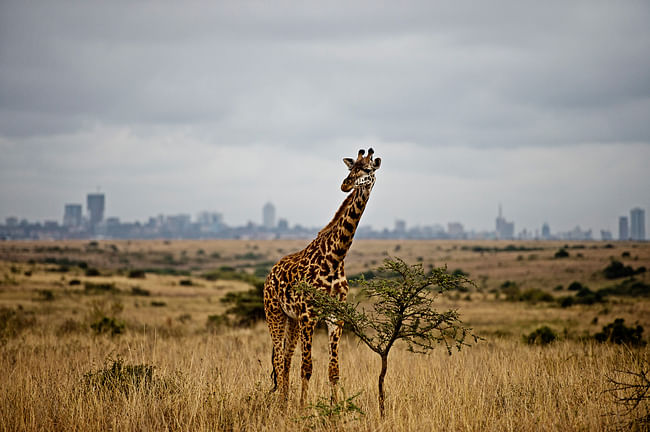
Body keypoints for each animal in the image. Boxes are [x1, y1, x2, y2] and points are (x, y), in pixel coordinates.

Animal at [260, 147, 378, 406]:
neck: (335, 258)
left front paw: (336, 408)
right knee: (278, 358)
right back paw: (282, 403)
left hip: (291, 319)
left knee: (286, 358)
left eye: (367, 169)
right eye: (351, 168)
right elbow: (307, 367)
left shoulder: (335, 315)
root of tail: (271, 272)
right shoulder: (309, 315)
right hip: (274, 313)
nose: (346, 184)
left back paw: (285, 400)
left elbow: (334, 369)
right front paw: (304, 407)